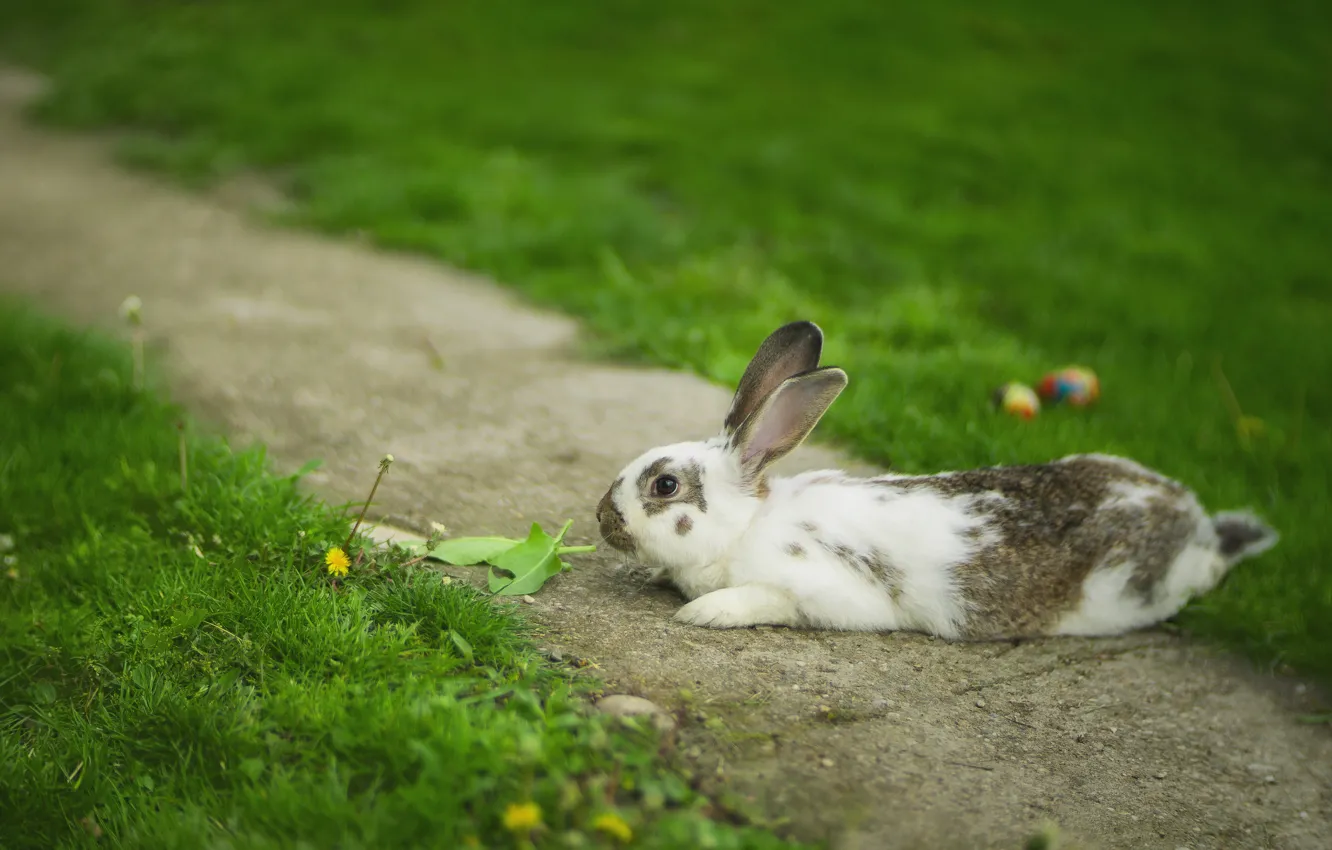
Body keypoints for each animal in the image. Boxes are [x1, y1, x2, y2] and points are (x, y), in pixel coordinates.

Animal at [596, 322, 1278, 642]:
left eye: (664, 486)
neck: (743, 529)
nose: (603, 517)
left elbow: (764, 599)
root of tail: (1194, 518)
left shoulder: (820, 589)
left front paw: (703, 613)